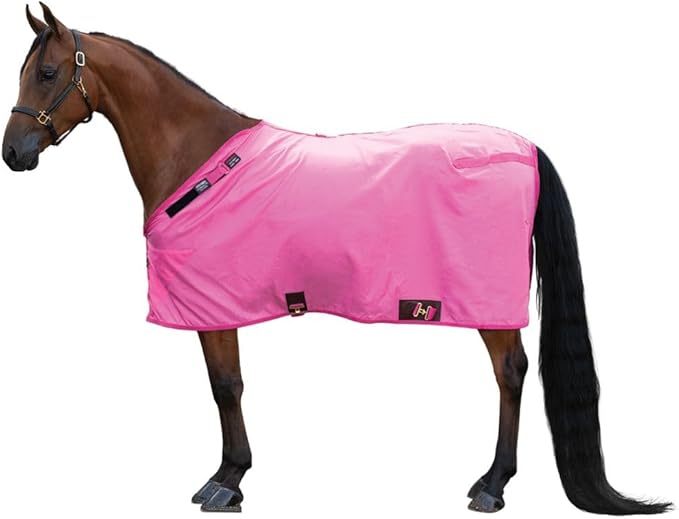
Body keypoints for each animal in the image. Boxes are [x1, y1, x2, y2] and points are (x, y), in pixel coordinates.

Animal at [2, 4, 672, 515]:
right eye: (25, 72)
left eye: (49, 73)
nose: (15, 153)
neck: (197, 161)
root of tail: (525, 148)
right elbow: (228, 387)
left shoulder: (215, 307)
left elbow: (226, 387)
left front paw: (227, 480)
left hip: (488, 305)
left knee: (510, 373)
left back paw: (492, 485)